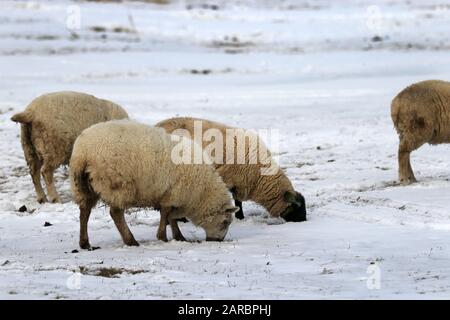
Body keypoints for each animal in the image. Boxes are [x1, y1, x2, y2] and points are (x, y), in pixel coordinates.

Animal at [69, 119, 239, 248]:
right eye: (225, 222)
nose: (218, 240)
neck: (202, 191)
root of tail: (83, 153)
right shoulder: (173, 193)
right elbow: (166, 214)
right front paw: (163, 236)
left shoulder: (172, 195)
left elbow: (171, 216)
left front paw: (178, 236)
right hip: (117, 185)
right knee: (115, 213)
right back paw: (130, 240)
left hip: (83, 187)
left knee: (84, 212)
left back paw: (85, 243)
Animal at [156, 117, 308, 222]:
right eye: (298, 208)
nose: (304, 221)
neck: (259, 177)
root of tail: (157, 126)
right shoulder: (233, 179)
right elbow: (237, 201)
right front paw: (239, 216)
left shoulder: (239, 182)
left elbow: (237, 200)